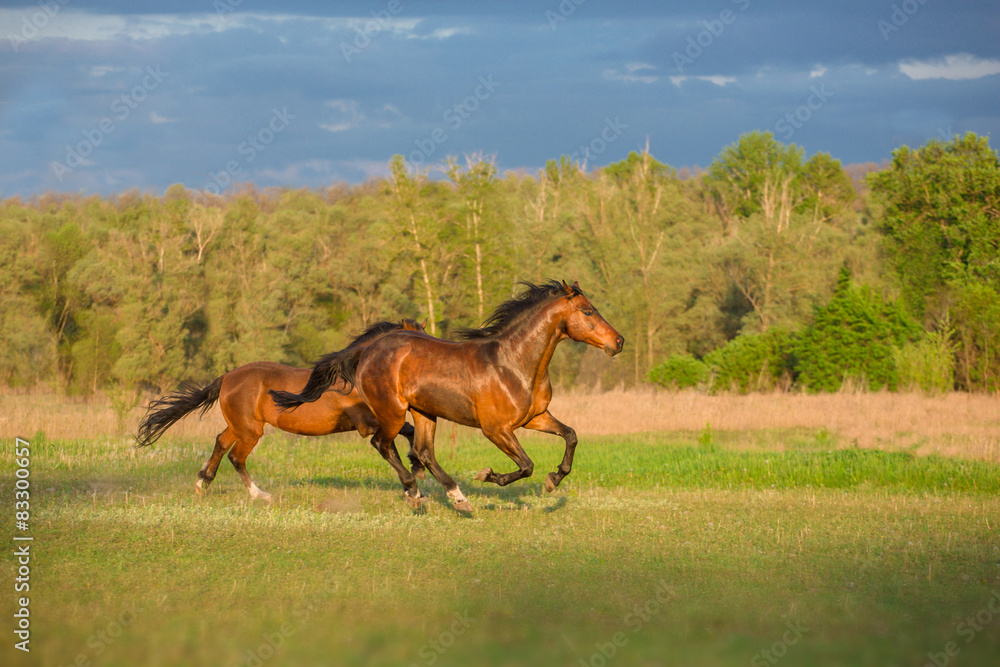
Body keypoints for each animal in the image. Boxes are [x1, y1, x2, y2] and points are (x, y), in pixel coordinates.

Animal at [135, 319, 426, 502]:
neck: (354, 375)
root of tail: (227, 377)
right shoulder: (369, 423)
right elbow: (398, 437)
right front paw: (414, 481)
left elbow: (407, 433)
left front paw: (415, 472)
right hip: (250, 431)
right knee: (236, 457)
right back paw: (259, 495)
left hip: (240, 426)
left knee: (220, 443)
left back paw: (202, 483)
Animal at [271, 281, 624, 511]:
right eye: (588, 312)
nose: (618, 342)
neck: (513, 363)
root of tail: (369, 350)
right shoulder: (496, 429)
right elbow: (526, 465)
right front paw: (488, 475)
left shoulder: (535, 418)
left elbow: (571, 436)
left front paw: (554, 480)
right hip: (393, 411)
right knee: (383, 445)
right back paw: (415, 493)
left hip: (424, 412)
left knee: (423, 452)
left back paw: (457, 498)